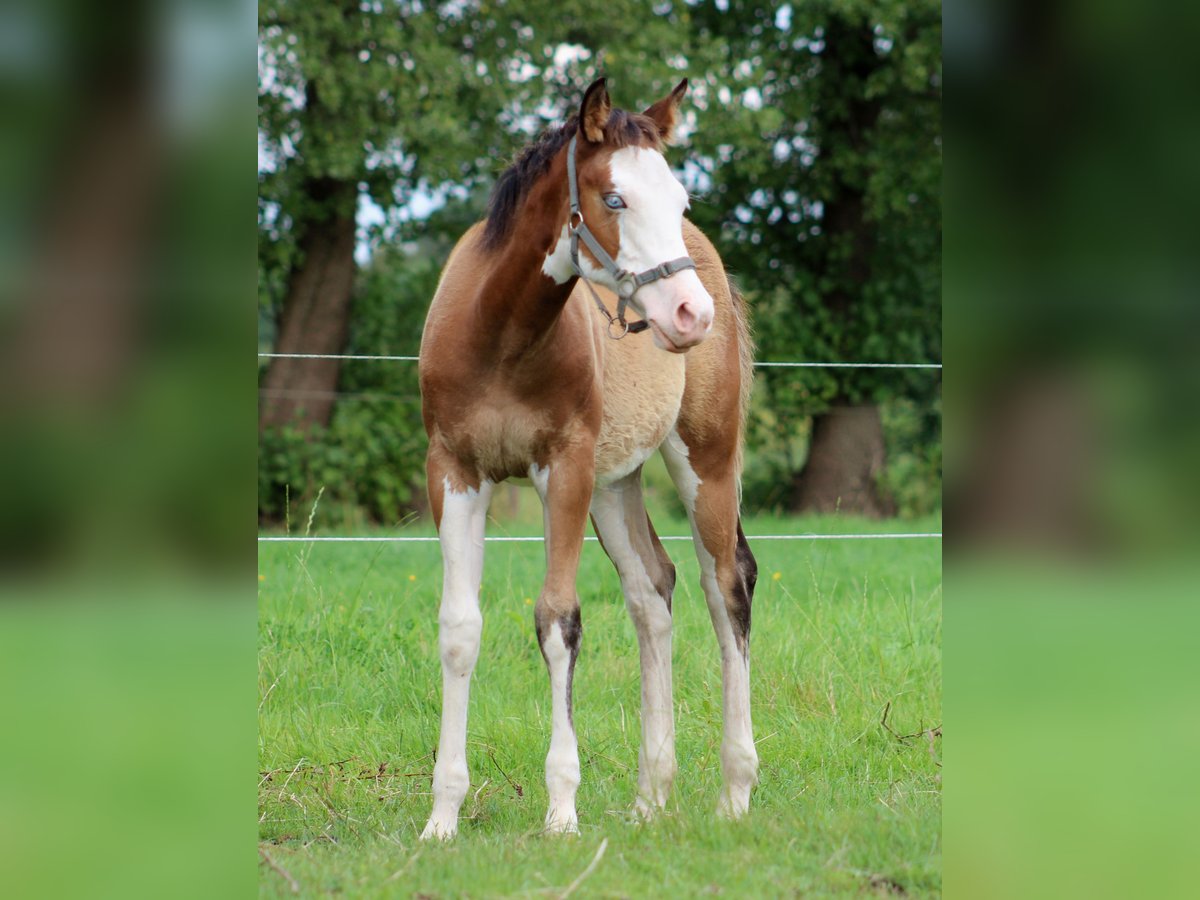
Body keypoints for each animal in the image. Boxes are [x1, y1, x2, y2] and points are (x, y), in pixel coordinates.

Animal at [422, 77, 753, 840]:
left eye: (679, 200)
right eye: (615, 199)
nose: (690, 314)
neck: (500, 336)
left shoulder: (563, 471)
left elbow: (559, 620)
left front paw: (561, 810)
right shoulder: (453, 471)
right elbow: (460, 629)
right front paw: (442, 816)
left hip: (706, 458)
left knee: (725, 587)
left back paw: (735, 792)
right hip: (617, 482)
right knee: (653, 592)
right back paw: (650, 796)